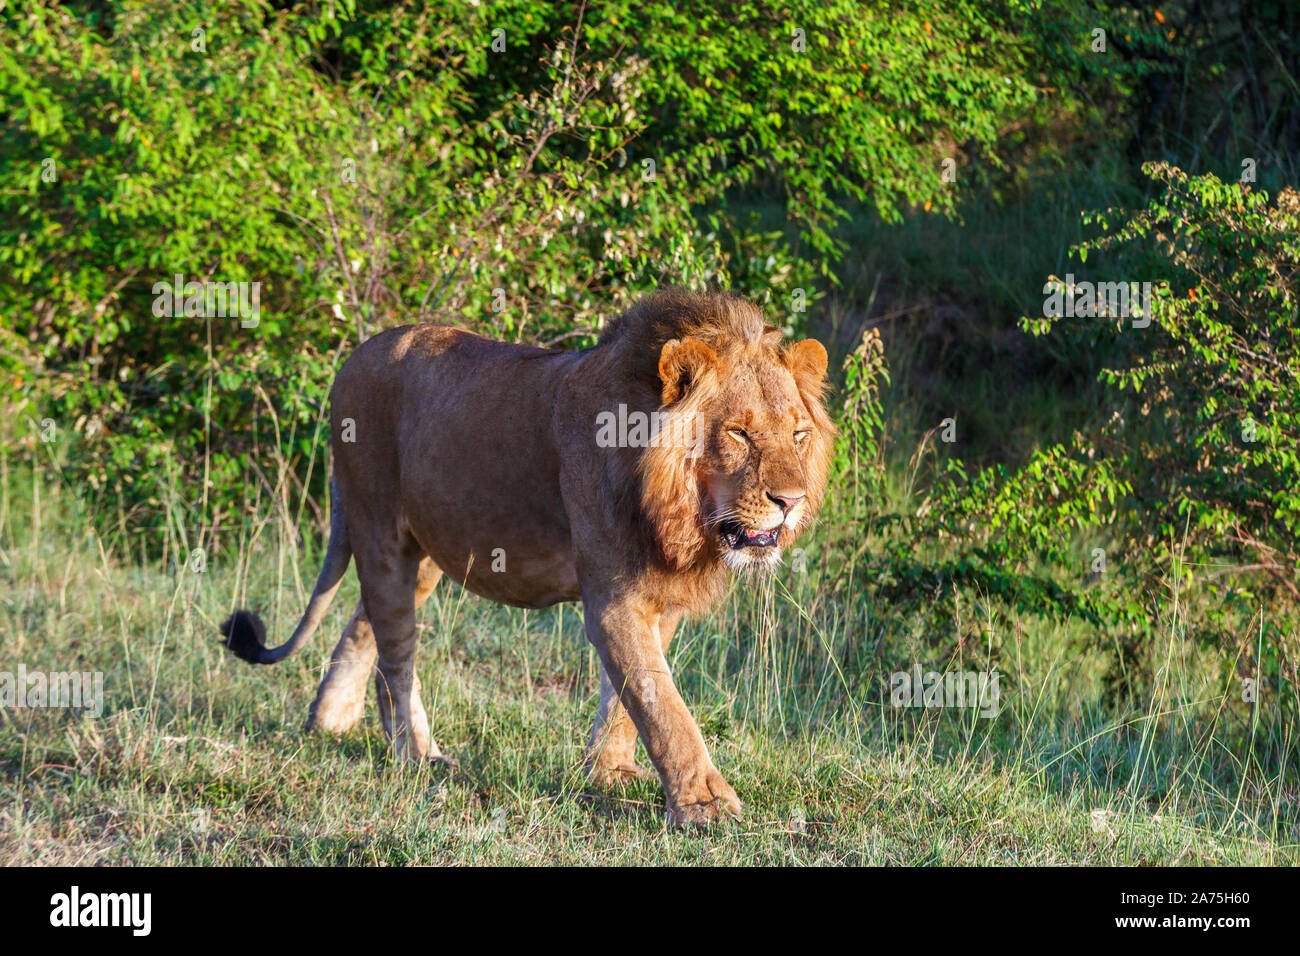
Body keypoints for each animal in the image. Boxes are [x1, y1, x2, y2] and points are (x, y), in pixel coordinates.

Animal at [220, 289, 833, 826]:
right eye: (739, 433)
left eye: (799, 434)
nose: (791, 502)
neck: (679, 512)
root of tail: (355, 356)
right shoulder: (613, 598)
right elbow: (663, 706)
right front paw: (705, 806)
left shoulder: (661, 597)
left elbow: (628, 700)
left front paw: (608, 773)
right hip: (380, 533)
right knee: (397, 652)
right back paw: (416, 754)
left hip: (425, 552)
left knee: (365, 626)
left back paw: (331, 722)